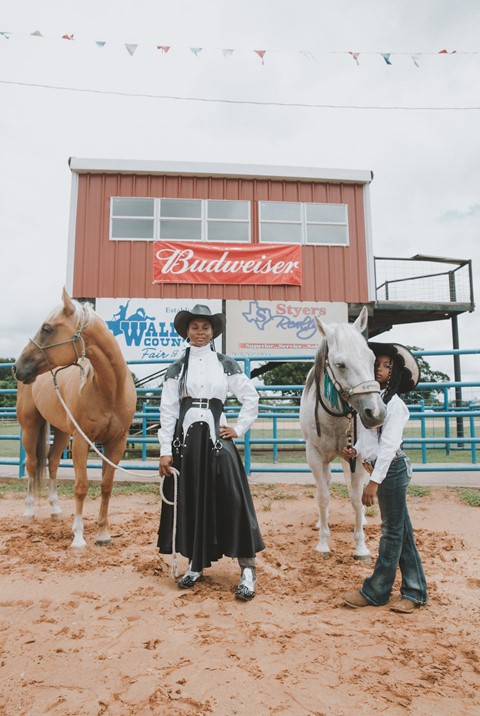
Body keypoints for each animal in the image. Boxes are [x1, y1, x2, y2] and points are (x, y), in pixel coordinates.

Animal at [14, 288, 137, 544]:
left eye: (47, 328)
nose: (17, 367)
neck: (109, 390)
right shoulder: (81, 441)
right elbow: (81, 486)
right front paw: (78, 537)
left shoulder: (116, 443)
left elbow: (106, 486)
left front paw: (103, 534)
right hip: (30, 427)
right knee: (32, 464)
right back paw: (29, 511)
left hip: (61, 432)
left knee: (52, 461)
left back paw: (55, 508)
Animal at [300, 306, 386, 560]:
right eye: (340, 364)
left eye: (371, 358)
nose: (376, 413)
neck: (337, 418)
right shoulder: (315, 456)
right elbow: (323, 496)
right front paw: (323, 543)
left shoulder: (356, 456)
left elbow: (356, 498)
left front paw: (361, 547)